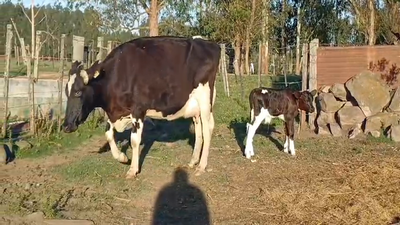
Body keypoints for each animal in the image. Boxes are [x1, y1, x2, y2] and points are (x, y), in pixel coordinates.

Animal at [61, 35, 220, 179]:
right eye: (66, 92)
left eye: (78, 92)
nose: (66, 126)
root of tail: (209, 43)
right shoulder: (116, 112)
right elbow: (108, 134)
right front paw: (122, 157)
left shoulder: (138, 110)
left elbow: (134, 140)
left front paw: (132, 170)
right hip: (195, 107)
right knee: (199, 129)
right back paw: (193, 161)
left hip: (205, 99)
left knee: (207, 129)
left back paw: (201, 166)